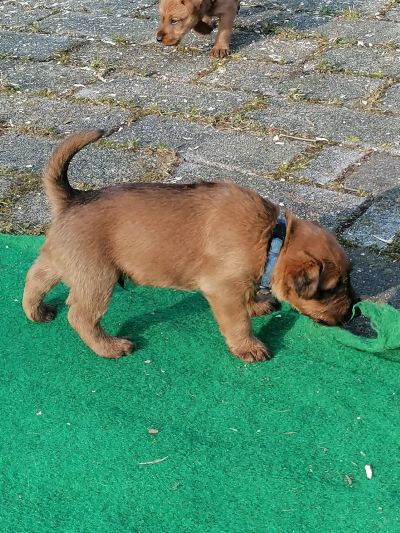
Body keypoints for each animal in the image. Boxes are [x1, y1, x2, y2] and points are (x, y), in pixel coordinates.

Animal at [22, 129, 356, 362]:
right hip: (98, 278)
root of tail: (72, 198)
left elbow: (247, 298)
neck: (271, 239)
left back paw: (36, 312)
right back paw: (111, 347)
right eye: (333, 287)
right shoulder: (223, 289)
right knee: (79, 315)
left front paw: (257, 304)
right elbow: (239, 322)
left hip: (64, 261)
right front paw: (249, 347)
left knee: (34, 278)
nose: (352, 314)